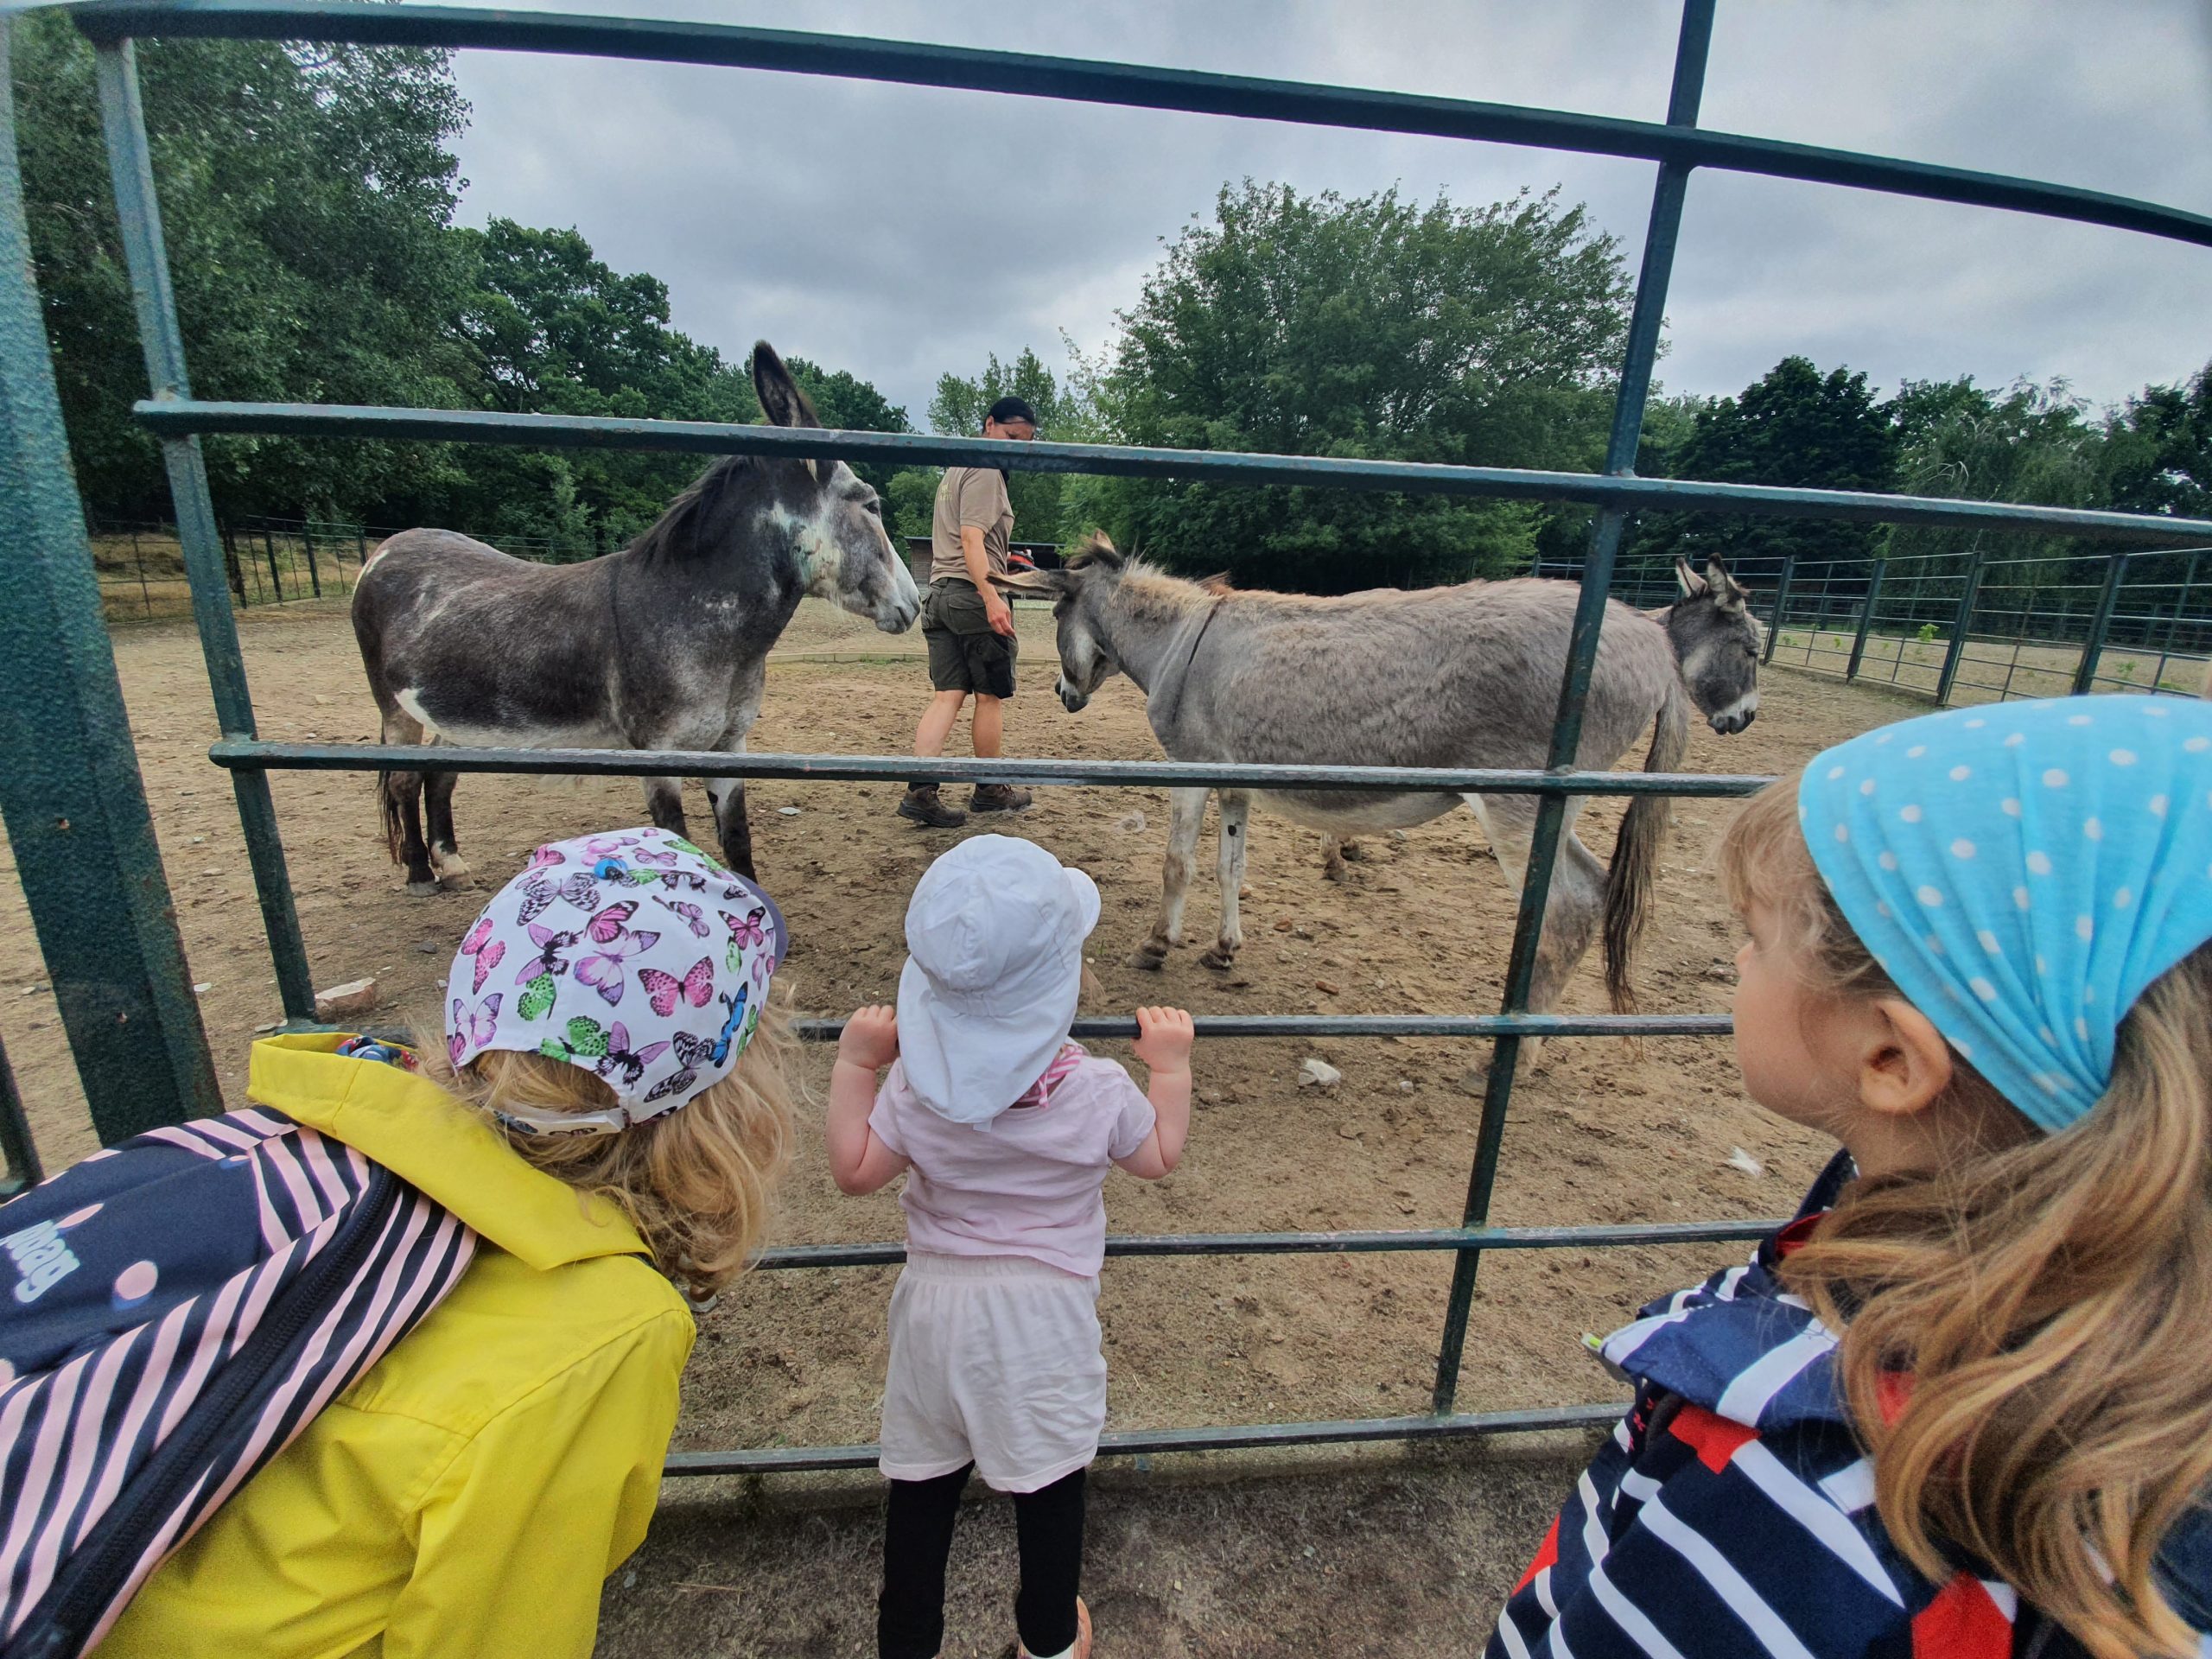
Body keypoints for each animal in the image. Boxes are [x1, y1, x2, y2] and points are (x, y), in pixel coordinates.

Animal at [351, 342, 920, 891]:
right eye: (872, 505)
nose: (913, 604)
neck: (689, 617)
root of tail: (393, 545)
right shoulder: (658, 755)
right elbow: (676, 841)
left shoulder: (728, 746)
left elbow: (738, 841)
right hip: (395, 709)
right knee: (404, 779)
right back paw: (420, 873)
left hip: (454, 713)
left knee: (438, 776)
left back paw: (450, 865)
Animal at [1002, 536, 1761, 1018]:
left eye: (1058, 612)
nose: (1063, 696)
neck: (1180, 639)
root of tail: (1650, 644)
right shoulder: (1237, 778)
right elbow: (1230, 865)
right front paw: (1223, 950)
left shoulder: (1188, 766)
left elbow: (1177, 862)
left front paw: (1158, 947)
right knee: (1595, 895)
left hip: (1521, 802)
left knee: (1571, 906)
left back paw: (1516, 1046)